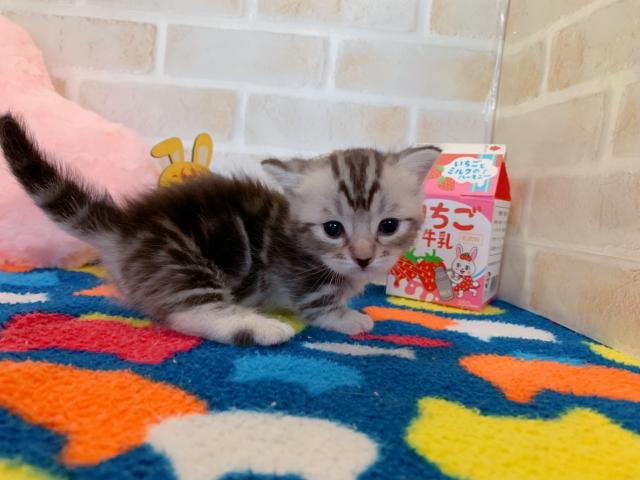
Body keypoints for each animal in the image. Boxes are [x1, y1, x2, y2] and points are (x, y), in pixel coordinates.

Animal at [0, 114, 440, 346]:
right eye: (333, 229)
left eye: (388, 226)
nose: (364, 258)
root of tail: (125, 227)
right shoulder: (300, 275)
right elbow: (320, 304)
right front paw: (348, 317)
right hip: (183, 263)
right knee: (189, 314)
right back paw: (263, 328)